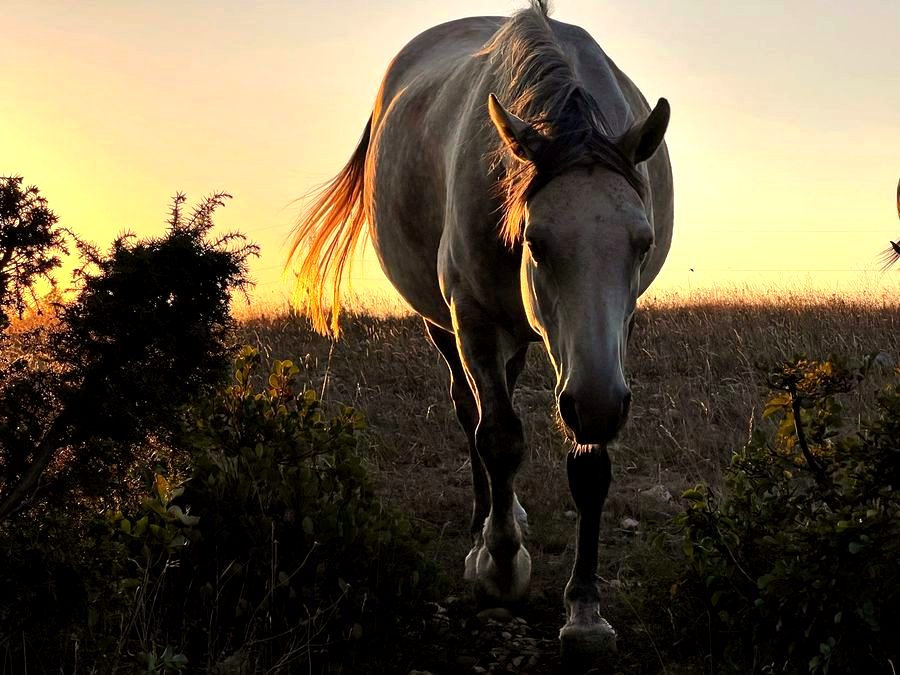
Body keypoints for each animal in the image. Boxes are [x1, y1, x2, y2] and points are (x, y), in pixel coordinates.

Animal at [289, 0, 673, 660]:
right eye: (536, 242)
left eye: (641, 242)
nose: (597, 405)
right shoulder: (473, 318)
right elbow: (497, 437)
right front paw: (499, 568)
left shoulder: (606, 348)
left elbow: (589, 467)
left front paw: (585, 610)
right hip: (447, 325)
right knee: (470, 411)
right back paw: (485, 525)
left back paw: (509, 512)